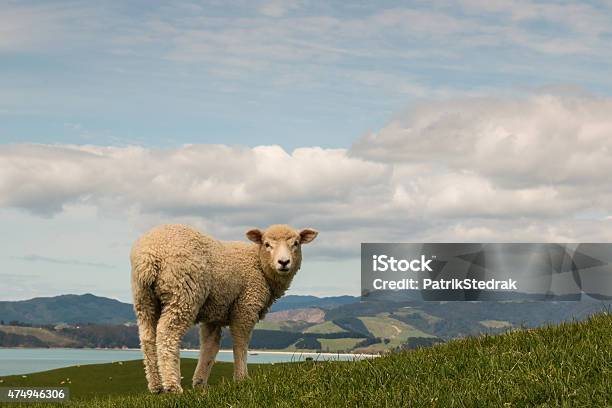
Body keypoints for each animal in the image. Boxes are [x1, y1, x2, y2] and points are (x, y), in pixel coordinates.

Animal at [131, 225, 318, 394]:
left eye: (296, 243)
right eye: (267, 244)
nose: (284, 262)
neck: (258, 265)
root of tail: (148, 257)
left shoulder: (213, 315)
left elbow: (210, 346)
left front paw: (200, 383)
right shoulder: (246, 306)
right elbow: (241, 344)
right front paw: (242, 379)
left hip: (144, 300)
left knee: (147, 339)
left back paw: (155, 386)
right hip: (183, 293)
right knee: (167, 335)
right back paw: (172, 386)